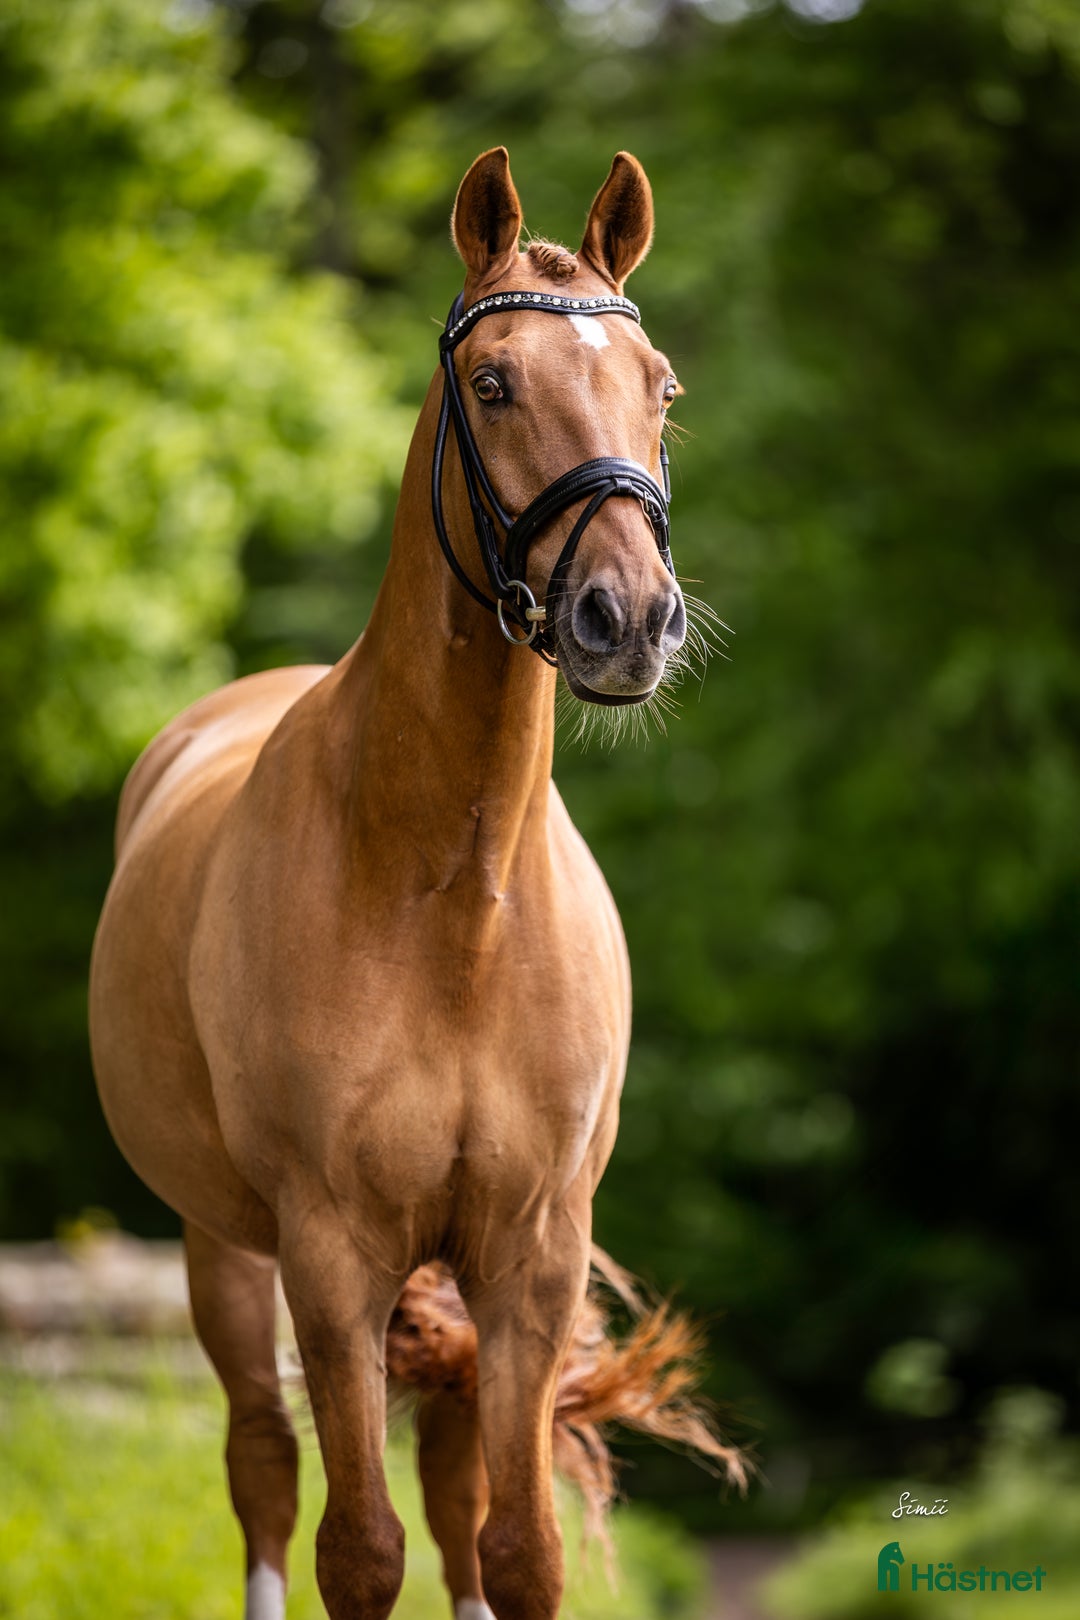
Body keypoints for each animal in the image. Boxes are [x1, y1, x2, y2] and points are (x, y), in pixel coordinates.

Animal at [89, 146, 738, 1620]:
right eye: (493, 383)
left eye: (661, 384)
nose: (630, 618)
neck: (449, 894)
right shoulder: (328, 1258)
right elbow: (358, 1550)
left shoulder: (531, 1256)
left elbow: (513, 1545)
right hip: (224, 1255)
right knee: (264, 1471)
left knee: (451, 1493)